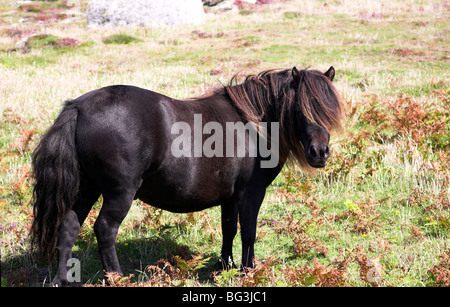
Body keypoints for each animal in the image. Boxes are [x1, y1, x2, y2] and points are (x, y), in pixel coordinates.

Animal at [30, 67, 342, 286]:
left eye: (329, 110)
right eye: (301, 108)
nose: (319, 153)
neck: (253, 125)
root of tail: (78, 107)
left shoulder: (229, 197)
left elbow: (229, 229)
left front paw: (224, 267)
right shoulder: (251, 193)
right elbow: (249, 232)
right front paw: (248, 271)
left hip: (87, 188)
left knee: (68, 227)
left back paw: (62, 280)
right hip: (119, 192)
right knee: (105, 229)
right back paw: (118, 278)